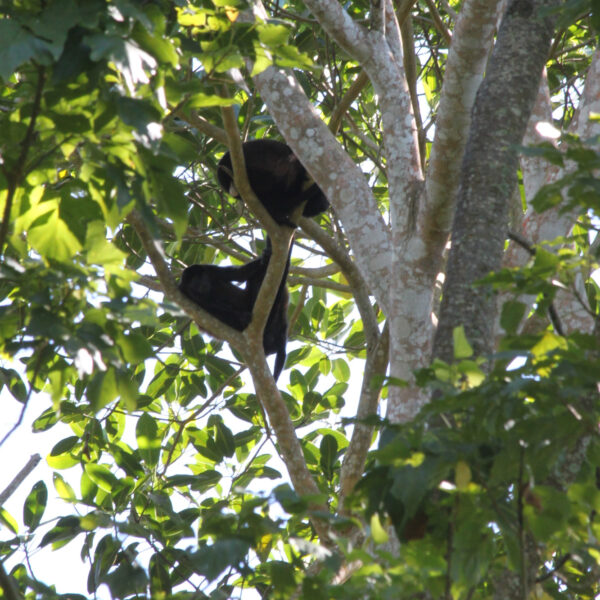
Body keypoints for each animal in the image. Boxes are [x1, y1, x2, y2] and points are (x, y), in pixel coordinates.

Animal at [178, 238, 290, 380]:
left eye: (200, 277)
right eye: (192, 282)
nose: (198, 284)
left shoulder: (210, 270)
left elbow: (239, 274)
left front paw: (266, 255)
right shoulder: (183, 290)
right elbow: (208, 309)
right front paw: (242, 317)